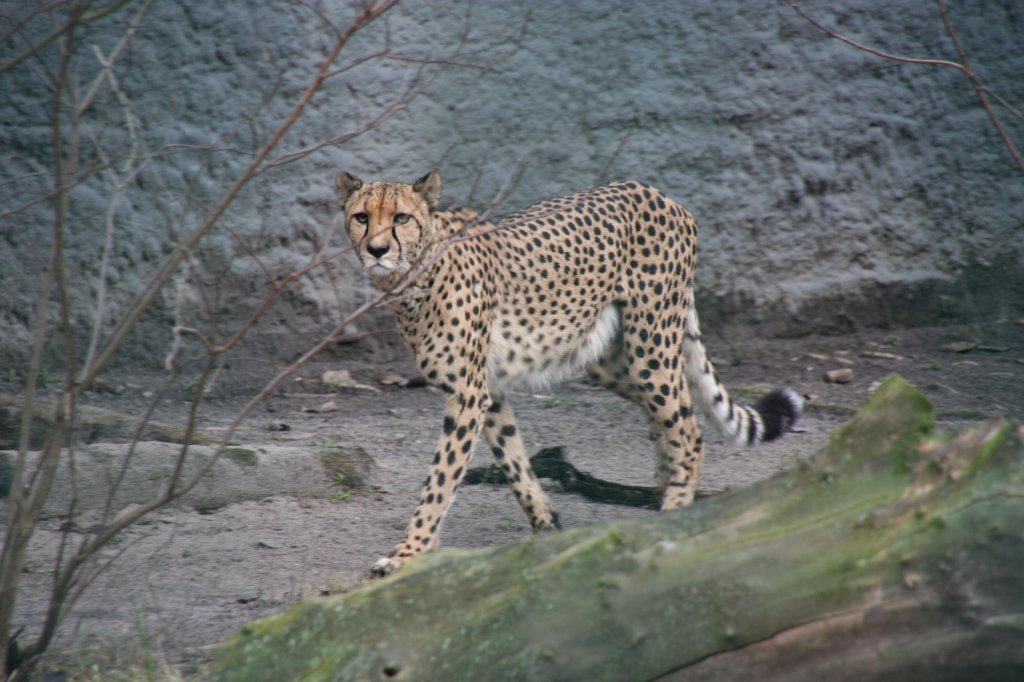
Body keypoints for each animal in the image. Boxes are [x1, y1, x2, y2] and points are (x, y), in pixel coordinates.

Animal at [333, 169, 798, 573]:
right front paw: (547, 527)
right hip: (610, 360)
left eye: (401, 218)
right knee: (665, 418)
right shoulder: (489, 390)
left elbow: (441, 478)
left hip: (651, 345)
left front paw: (408, 553)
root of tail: (658, 193)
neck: (413, 274)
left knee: (688, 430)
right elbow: (513, 459)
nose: (377, 250)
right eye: (362, 217)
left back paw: (672, 512)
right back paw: (657, 500)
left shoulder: (467, 393)